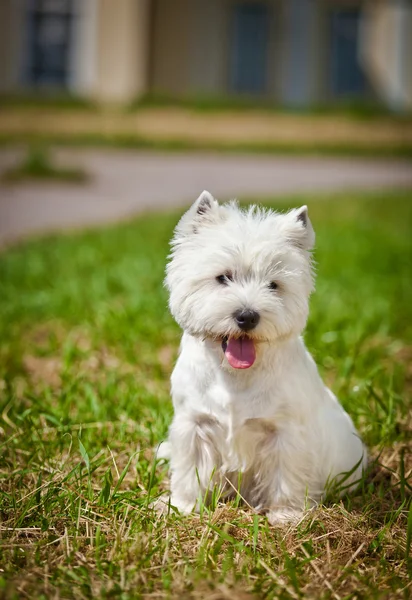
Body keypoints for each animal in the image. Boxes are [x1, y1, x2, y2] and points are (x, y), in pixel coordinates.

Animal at [162, 192, 366, 524]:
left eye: (274, 285)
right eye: (223, 277)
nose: (247, 316)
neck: (234, 376)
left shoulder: (285, 433)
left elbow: (286, 477)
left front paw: (285, 516)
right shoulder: (194, 423)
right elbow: (188, 472)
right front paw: (182, 507)